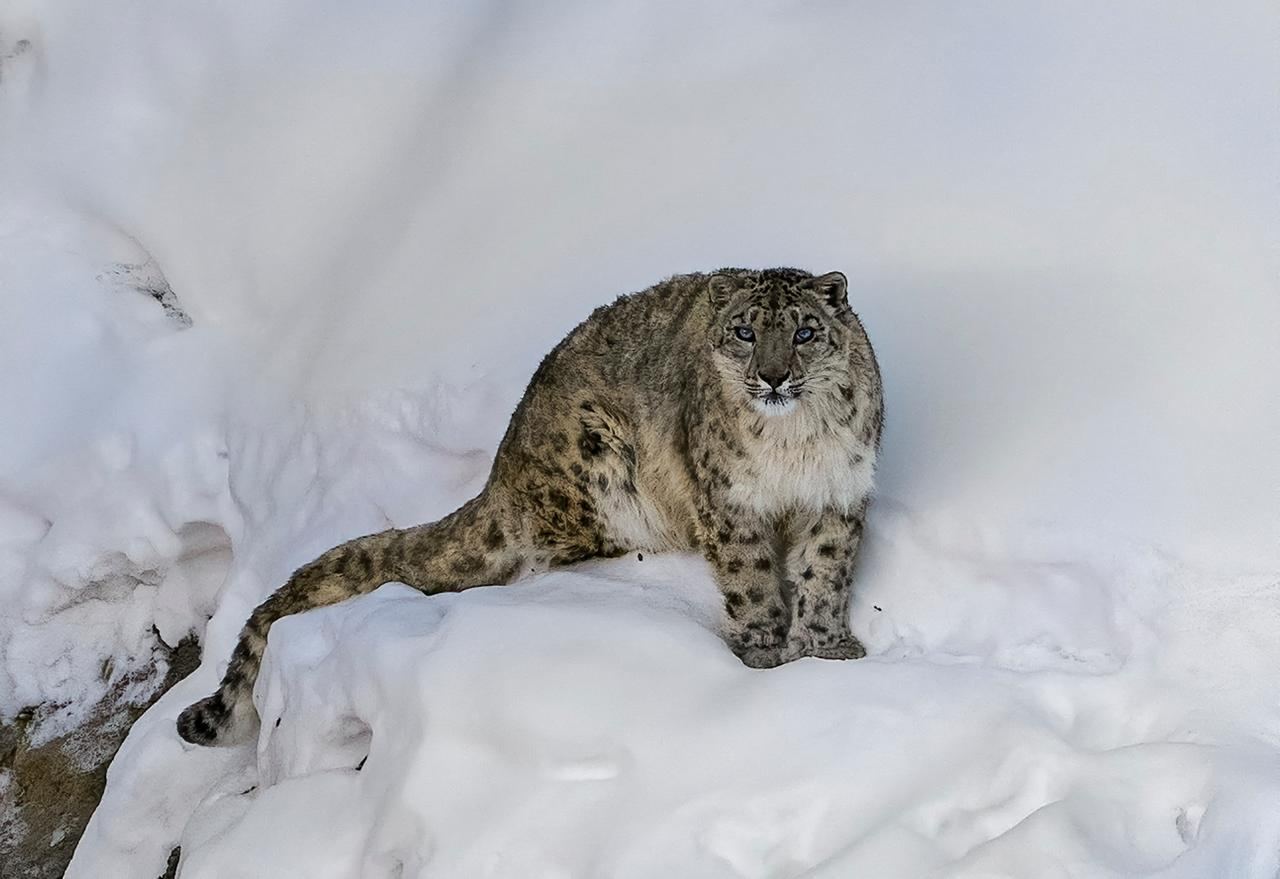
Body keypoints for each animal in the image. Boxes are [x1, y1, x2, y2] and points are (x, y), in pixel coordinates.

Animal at [178, 267, 884, 746]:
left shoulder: (838, 494)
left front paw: (826, 647)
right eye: (744, 332)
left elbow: (824, 571)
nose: (772, 376)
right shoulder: (731, 505)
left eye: (804, 332)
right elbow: (751, 578)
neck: (795, 449)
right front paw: (764, 649)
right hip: (595, 462)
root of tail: (504, 466)